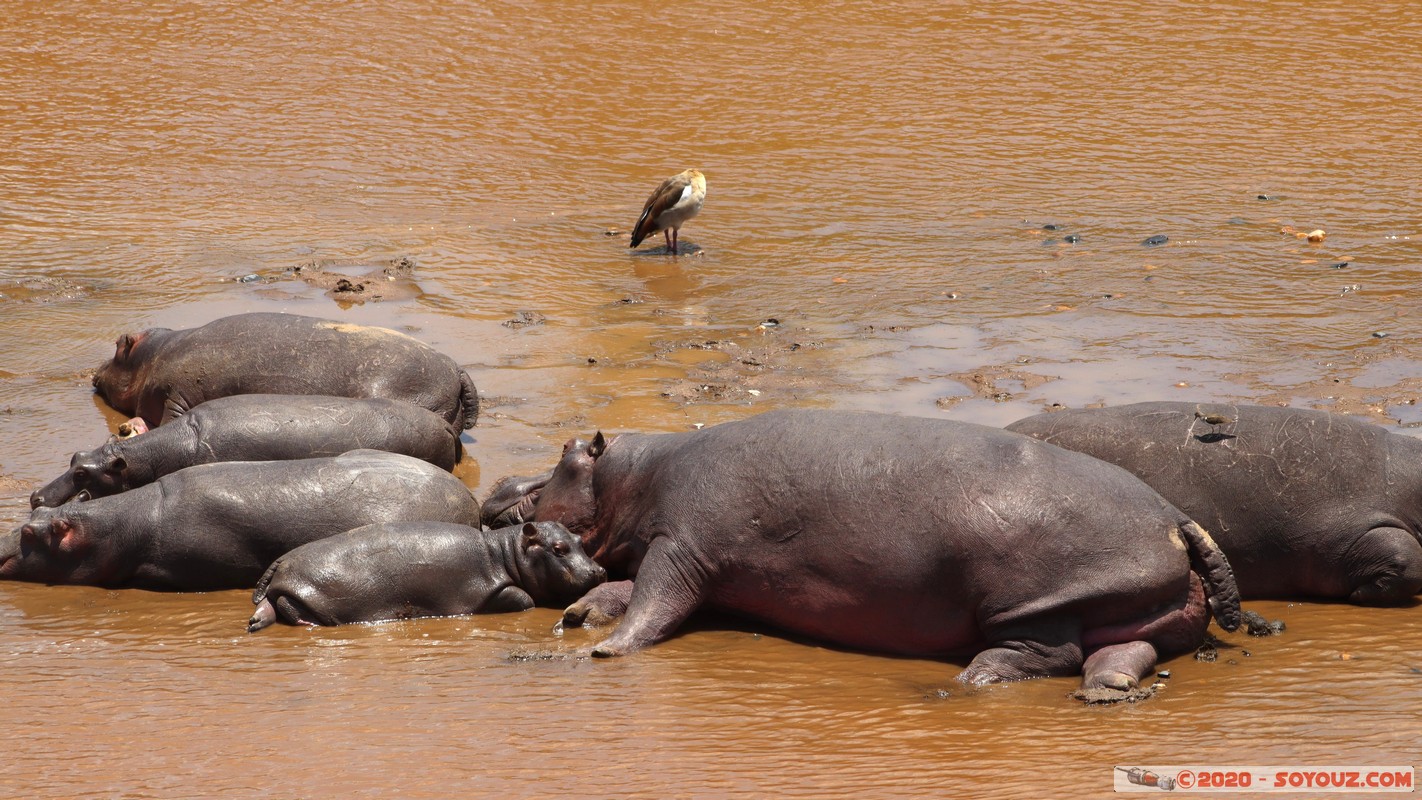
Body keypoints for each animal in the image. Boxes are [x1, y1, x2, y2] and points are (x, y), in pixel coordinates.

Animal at [92, 312, 479, 429]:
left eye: (118, 344)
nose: (95, 370)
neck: (152, 357)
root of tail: (458, 369)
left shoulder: (177, 393)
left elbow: (170, 416)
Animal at [247, 521, 606, 631]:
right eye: (558, 548)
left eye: (579, 540)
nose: (599, 570)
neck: (506, 553)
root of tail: (281, 559)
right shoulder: (488, 588)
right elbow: (522, 597)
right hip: (308, 593)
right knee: (289, 606)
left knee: (268, 604)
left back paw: (255, 622)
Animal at [489, 409, 1241, 691]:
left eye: (564, 453)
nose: (499, 488)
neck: (634, 475)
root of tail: (1177, 518)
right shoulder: (680, 555)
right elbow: (627, 588)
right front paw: (582, 614)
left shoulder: (684, 545)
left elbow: (655, 598)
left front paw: (606, 651)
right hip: (1141, 607)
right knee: (1125, 649)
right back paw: (1106, 691)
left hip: (1035, 595)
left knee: (1048, 649)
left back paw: (978, 676)